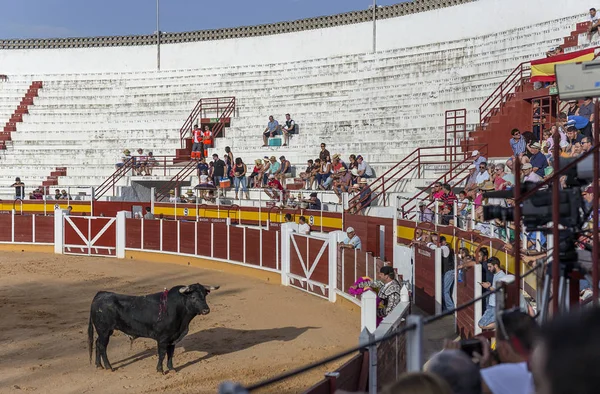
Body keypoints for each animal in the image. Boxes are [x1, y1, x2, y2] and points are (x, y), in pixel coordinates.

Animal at [88, 284, 219, 372]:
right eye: (193, 297)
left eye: (204, 296)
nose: (206, 310)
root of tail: (100, 294)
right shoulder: (163, 338)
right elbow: (162, 353)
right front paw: (160, 370)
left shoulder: (173, 338)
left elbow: (170, 353)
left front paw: (171, 369)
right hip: (104, 331)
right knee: (102, 346)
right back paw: (108, 367)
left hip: (103, 332)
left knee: (97, 343)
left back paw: (99, 365)